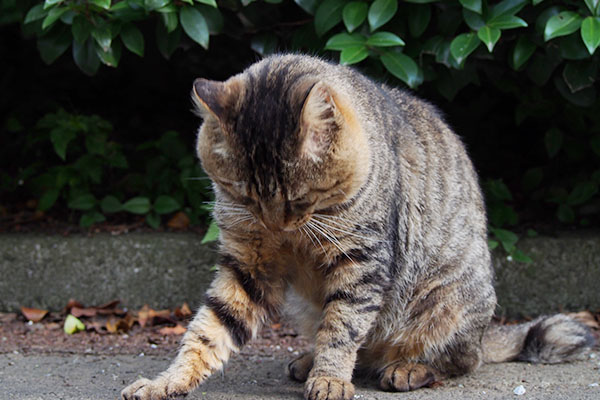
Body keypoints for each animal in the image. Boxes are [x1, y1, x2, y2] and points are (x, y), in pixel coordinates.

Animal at [119, 54, 592, 400]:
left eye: (297, 197)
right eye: (245, 195)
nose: (274, 223)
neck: (299, 233)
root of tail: (485, 332)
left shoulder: (362, 262)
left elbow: (343, 326)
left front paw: (330, 378)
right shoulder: (249, 265)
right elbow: (208, 331)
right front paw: (166, 381)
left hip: (446, 301)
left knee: (459, 360)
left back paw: (406, 368)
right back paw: (309, 360)